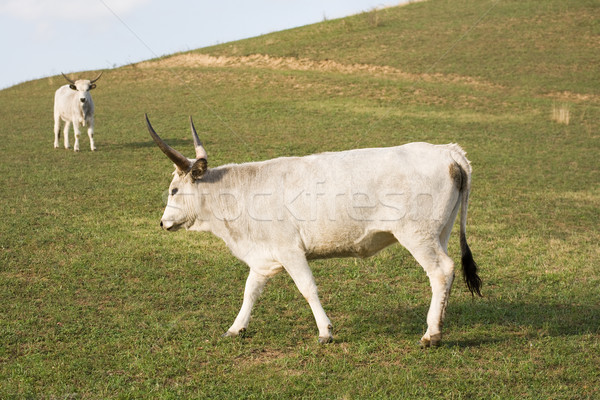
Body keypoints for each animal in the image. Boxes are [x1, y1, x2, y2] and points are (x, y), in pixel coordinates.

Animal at [145, 115, 482, 346]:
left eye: (174, 190)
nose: (163, 222)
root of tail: (448, 151)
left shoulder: (290, 250)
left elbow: (307, 288)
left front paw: (325, 332)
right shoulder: (264, 257)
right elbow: (250, 291)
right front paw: (235, 328)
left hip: (417, 235)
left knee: (441, 271)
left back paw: (431, 334)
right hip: (440, 232)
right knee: (445, 274)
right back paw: (439, 322)